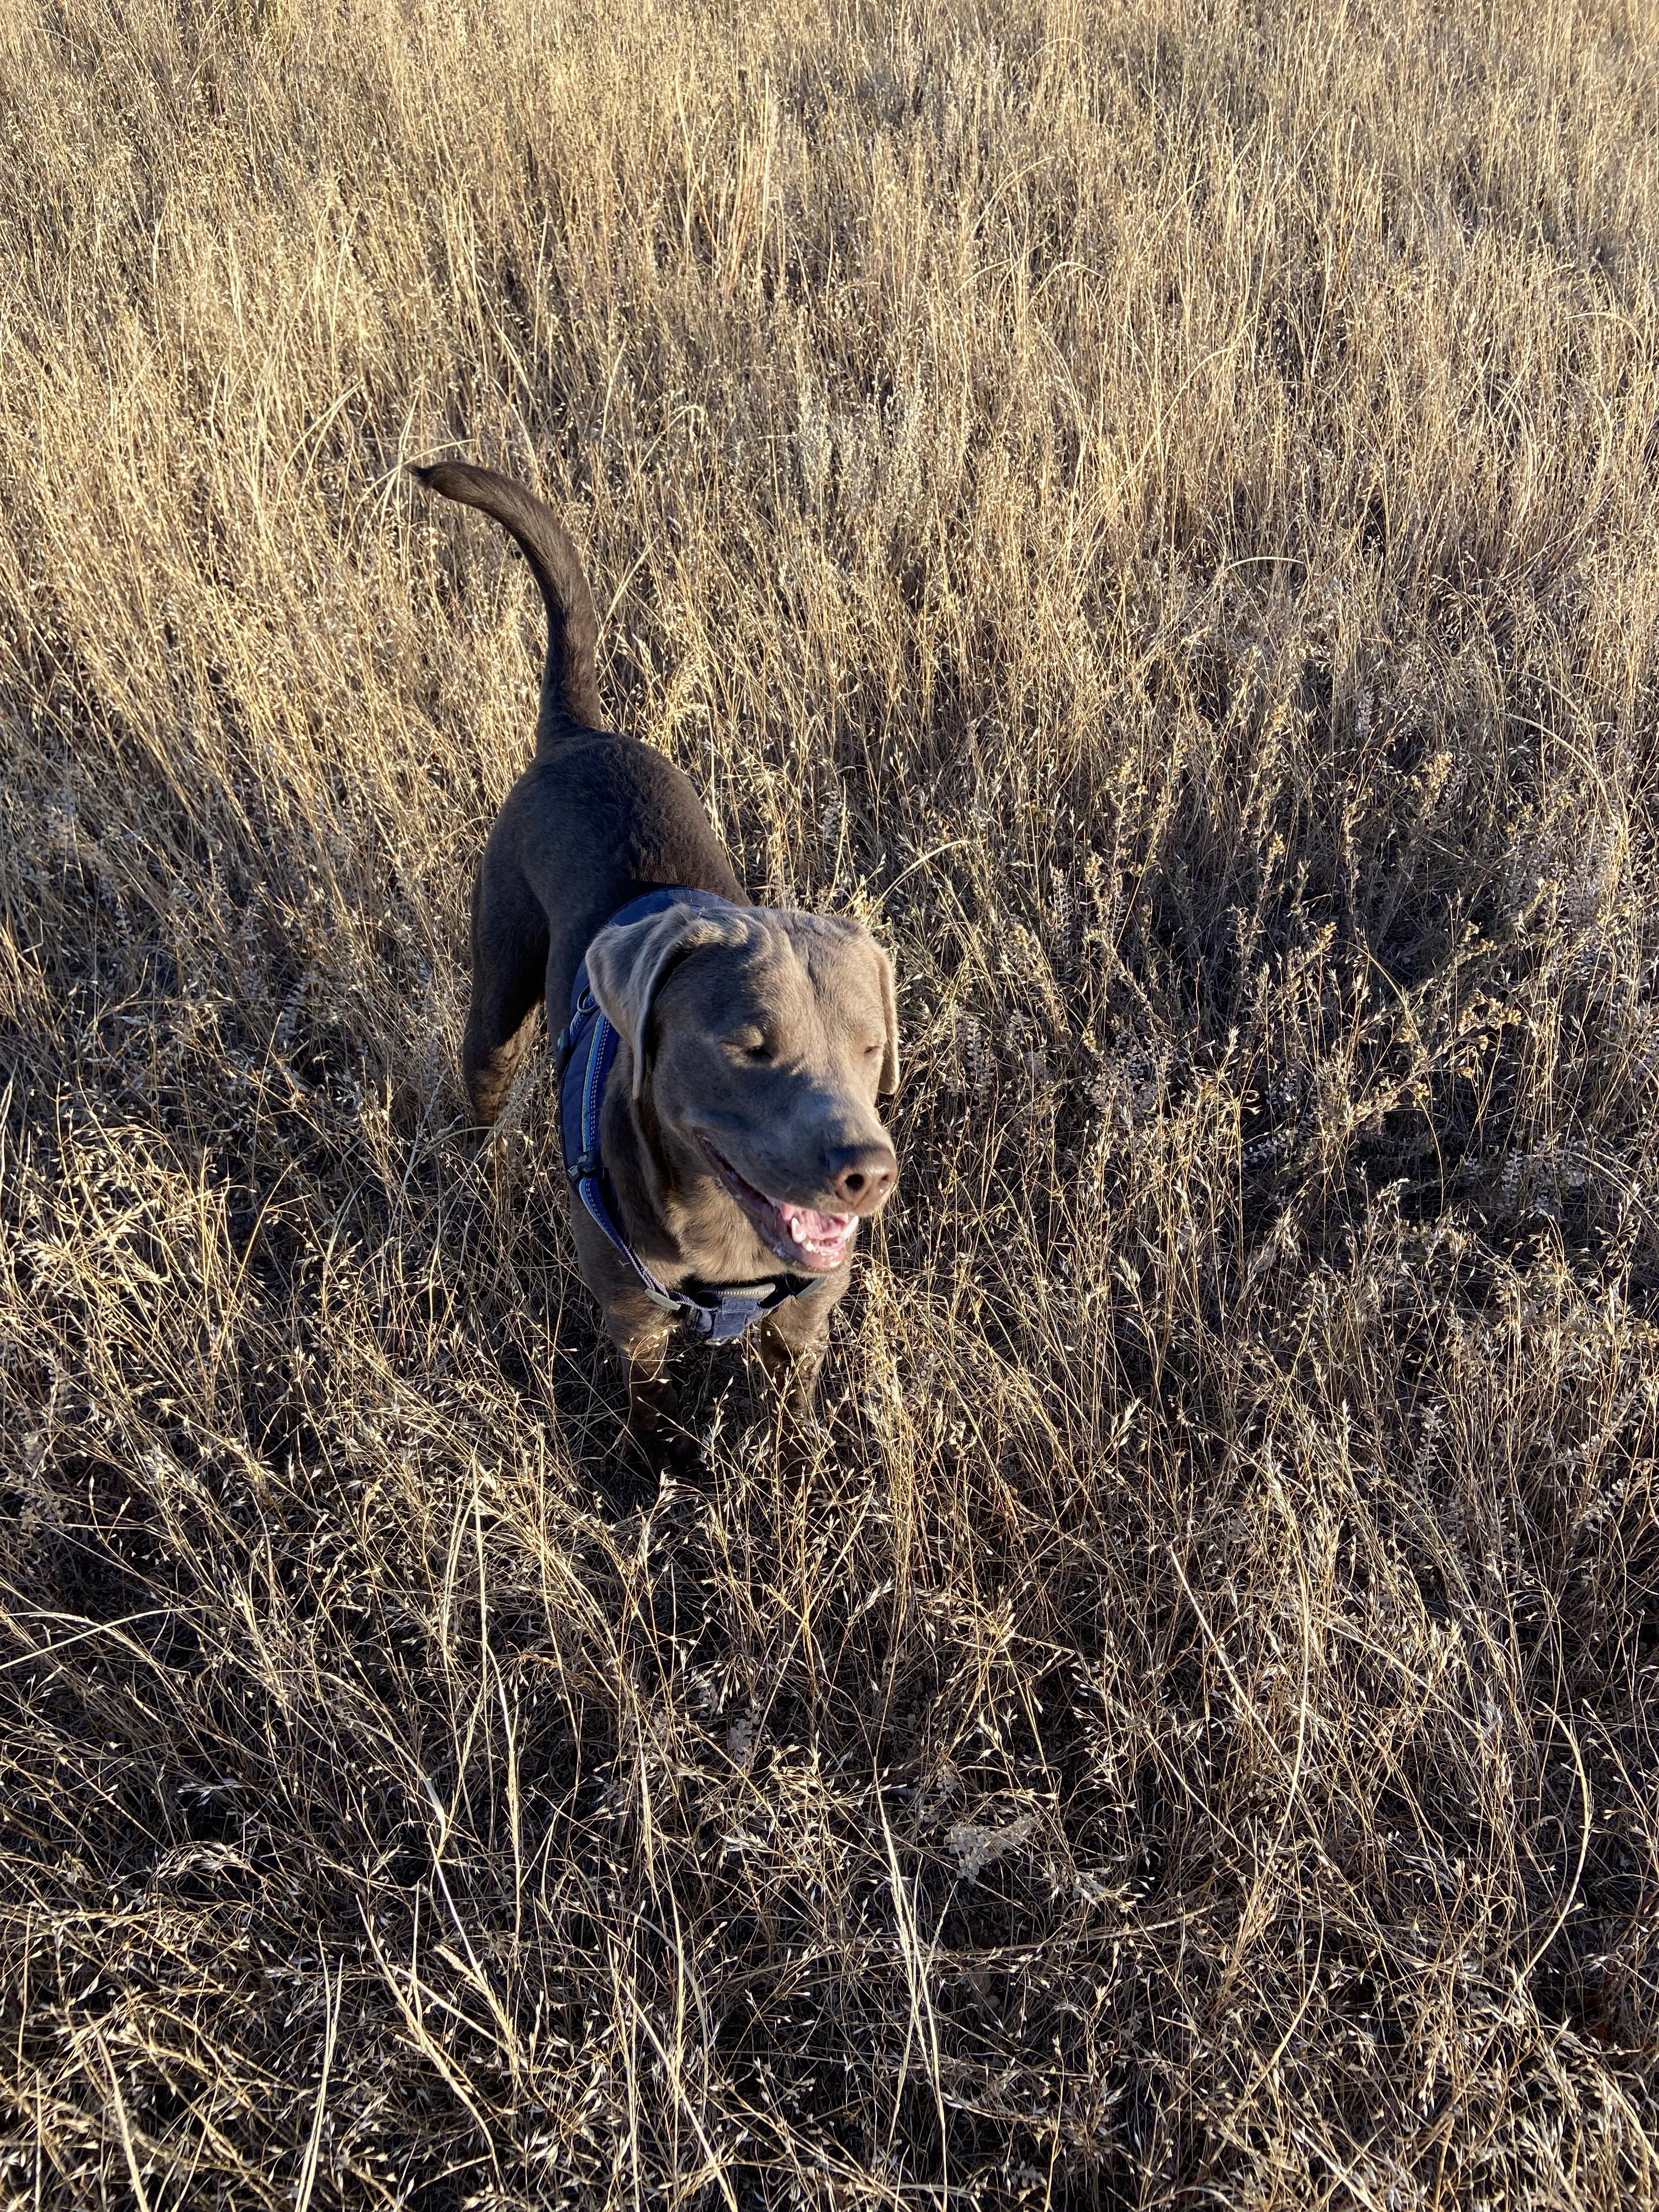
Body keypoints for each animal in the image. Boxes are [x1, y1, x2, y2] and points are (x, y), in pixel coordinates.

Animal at [411, 463, 899, 1466]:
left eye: (871, 1049)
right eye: (749, 1045)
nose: (867, 1172)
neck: (729, 1248)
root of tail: (577, 733)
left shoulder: (804, 1325)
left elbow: (792, 1414)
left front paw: (797, 1474)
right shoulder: (632, 1319)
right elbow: (647, 1403)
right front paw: (655, 1468)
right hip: (497, 995)